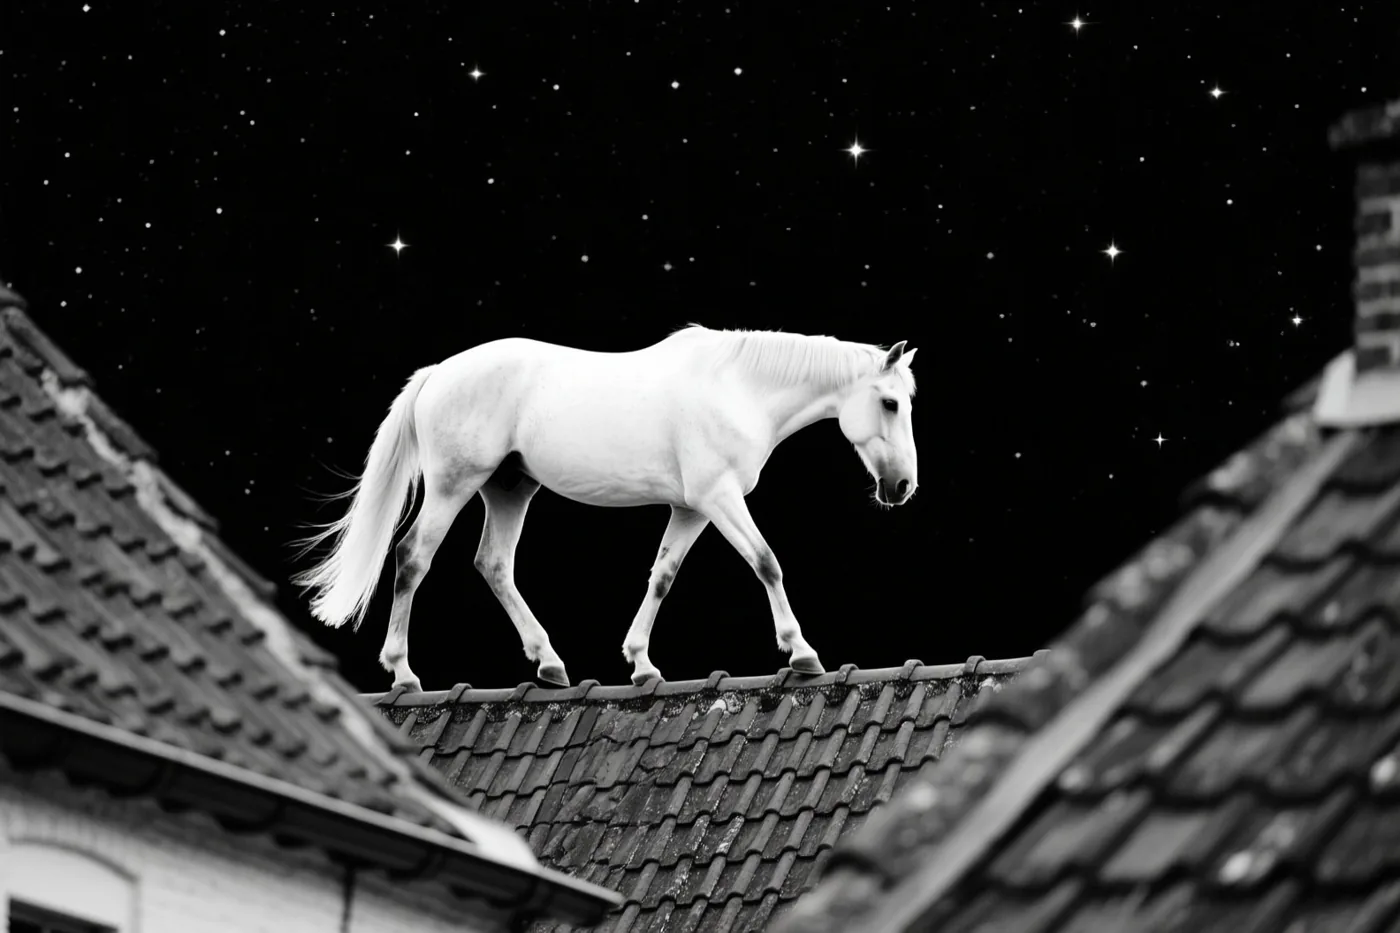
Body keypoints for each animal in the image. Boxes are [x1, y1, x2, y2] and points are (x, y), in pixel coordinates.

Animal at [293, 325, 918, 692]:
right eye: (889, 403)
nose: (902, 486)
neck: (737, 388)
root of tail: (438, 373)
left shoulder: (692, 509)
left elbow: (662, 576)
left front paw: (641, 663)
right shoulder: (719, 498)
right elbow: (767, 563)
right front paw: (801, 653)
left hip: (510, 489)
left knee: (493, 564)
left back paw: (549, 663)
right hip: (454, 485)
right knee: (412, 558)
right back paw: (403, 673)